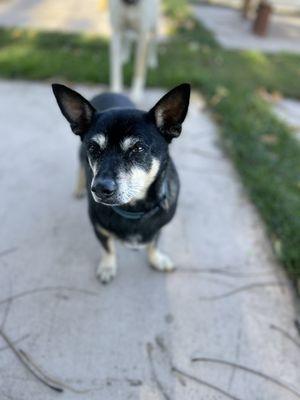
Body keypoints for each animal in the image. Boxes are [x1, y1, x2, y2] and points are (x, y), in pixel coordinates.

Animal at [51, 83, 190, 282]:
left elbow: (153, 243)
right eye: (93, 148)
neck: (134, 210)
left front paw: (156, 259)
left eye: (138, 148)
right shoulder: (99, 229)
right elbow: (108, 249)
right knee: (79, 167)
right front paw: (108, 267)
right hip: (80, 156)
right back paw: (78, 188)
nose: (99, 188)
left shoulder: (158, 228)